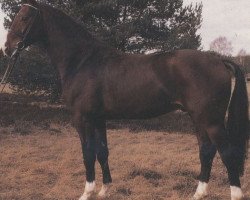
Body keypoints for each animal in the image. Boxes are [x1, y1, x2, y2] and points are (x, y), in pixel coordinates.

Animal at [2, 0, 249, 199]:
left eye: (25, 17)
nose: (7, 48)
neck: (82, 61)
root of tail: (219, 60)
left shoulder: (82, 118)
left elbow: (87, 153)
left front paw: (87, 192)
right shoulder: (98, 118)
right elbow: (102, 151)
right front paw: (104, 190)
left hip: (211, 121)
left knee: (227, 153)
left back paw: (234, 194)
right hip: (199, 118)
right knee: (206, 151)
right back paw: (198, 193)